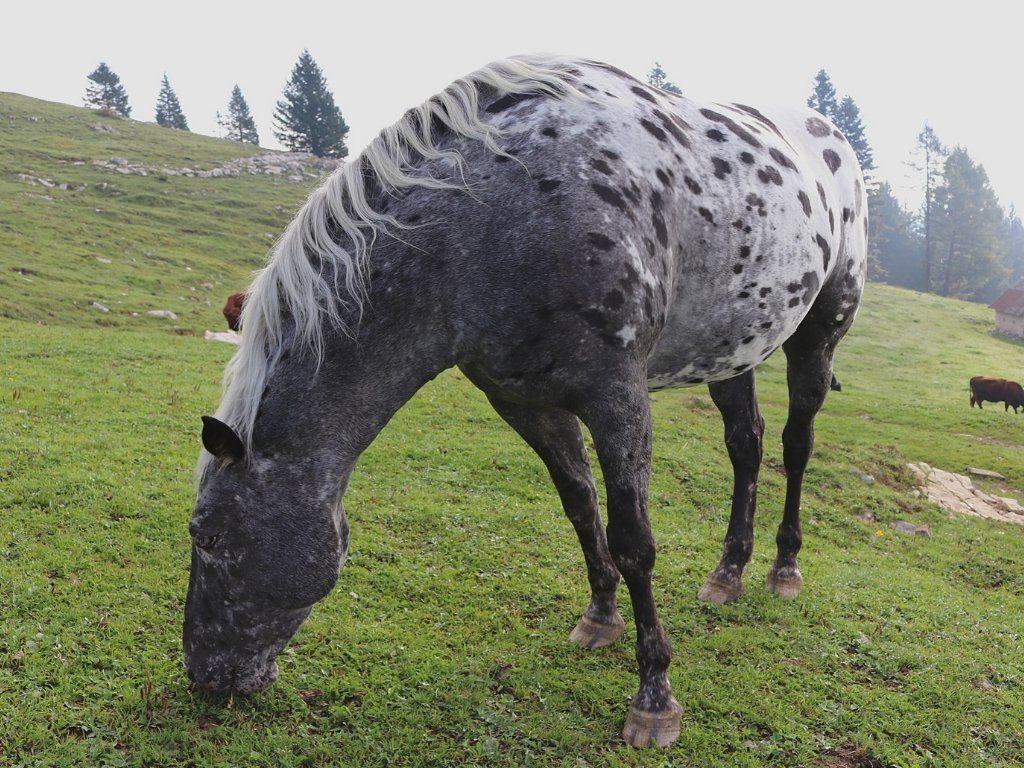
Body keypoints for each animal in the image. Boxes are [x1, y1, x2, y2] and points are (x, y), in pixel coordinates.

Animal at [184, 55, 864, 753]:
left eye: (207, 535)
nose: (206, 674)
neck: (492, 223)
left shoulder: (618, 397)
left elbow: (634, 542)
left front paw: (655, 699)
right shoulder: (523, 402)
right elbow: (581, 511)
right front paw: (600, 618)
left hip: (820, 333)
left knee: (795, 446)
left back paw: (784, 568)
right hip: (733, 349)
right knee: (746, 447)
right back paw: (729, 573)